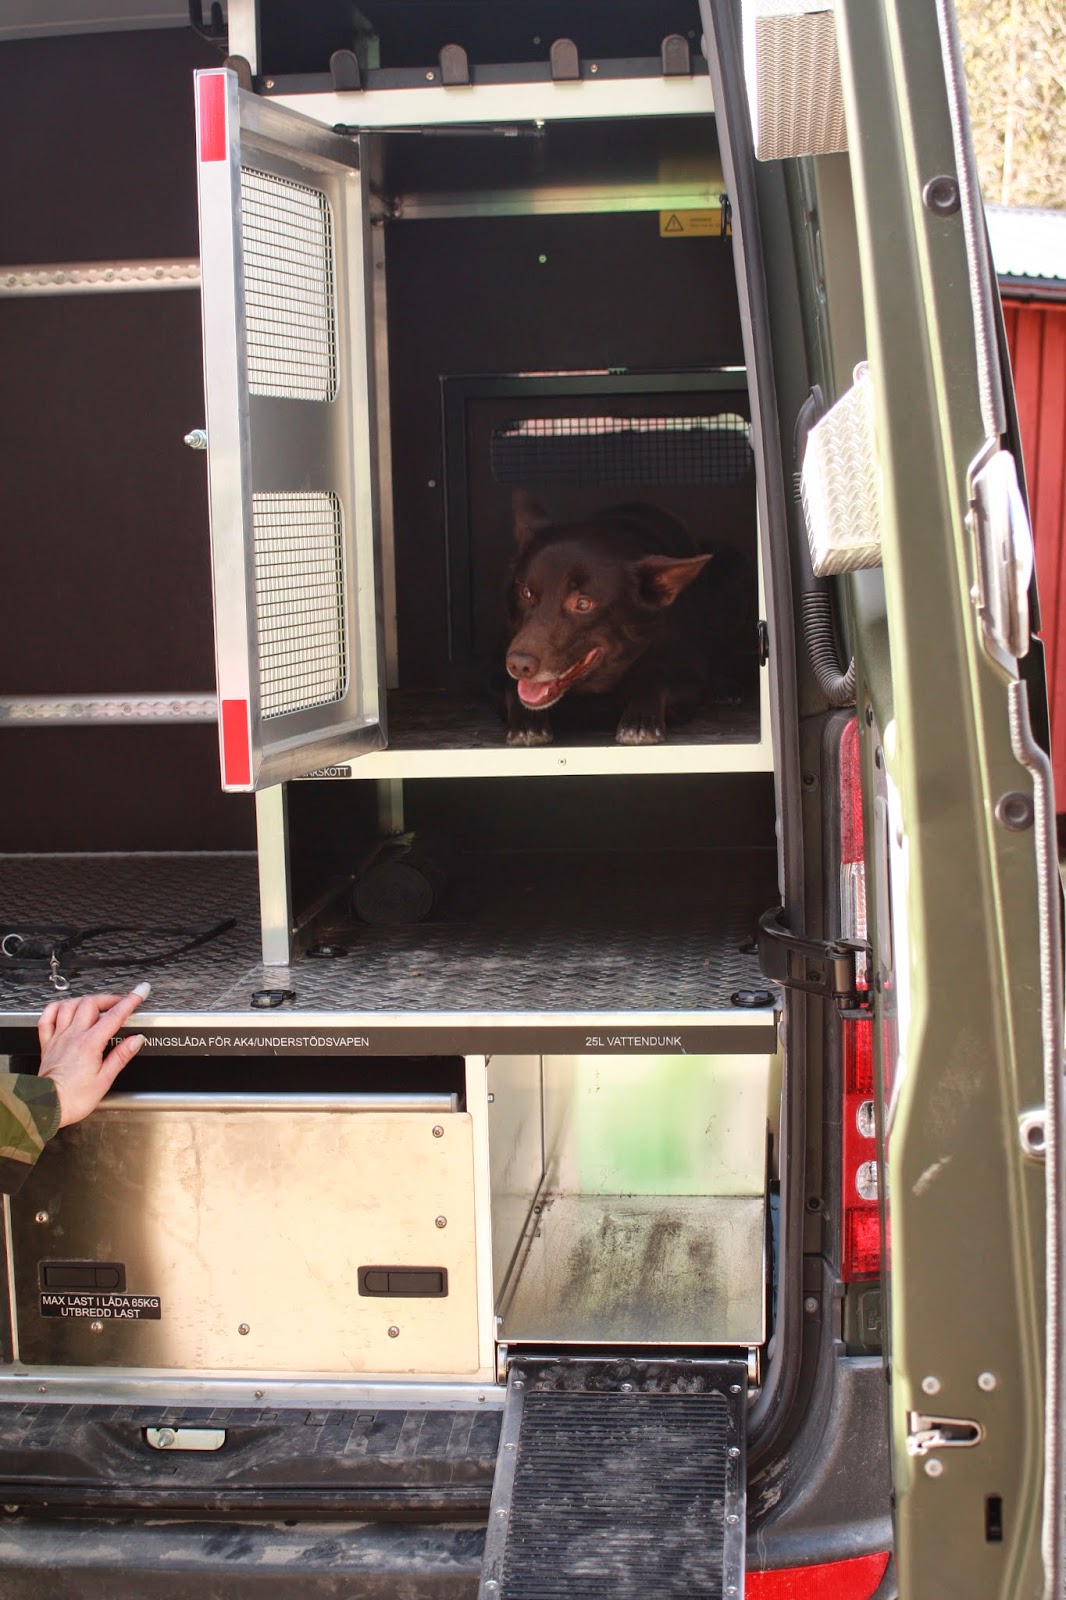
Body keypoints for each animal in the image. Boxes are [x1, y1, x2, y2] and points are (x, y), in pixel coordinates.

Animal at [504, 491, 727, 746]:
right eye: (526, 592)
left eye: (583, 603)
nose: (519, 665)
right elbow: (513, 689)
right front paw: (527, 721)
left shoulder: (690, 678)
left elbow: (656, 677)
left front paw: (640, 720)